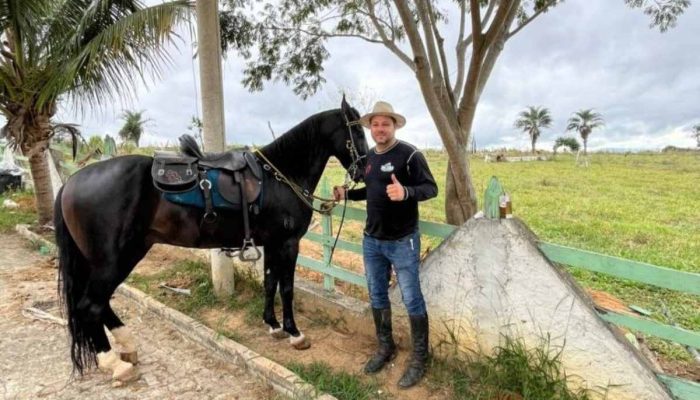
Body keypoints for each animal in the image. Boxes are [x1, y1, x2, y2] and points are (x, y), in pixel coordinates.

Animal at [54, 98, 368, 381]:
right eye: (357, 132)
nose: (363, 170)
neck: (282, 176)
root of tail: (72, 182)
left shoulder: (272, 244)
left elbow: (270, 284)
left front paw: (272, 325)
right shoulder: (288, 244)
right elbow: (287, 289)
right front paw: (294, 333)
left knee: (99, 303)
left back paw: (127, 347)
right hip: (115, 259)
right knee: (91, 305)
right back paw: (114, 363)